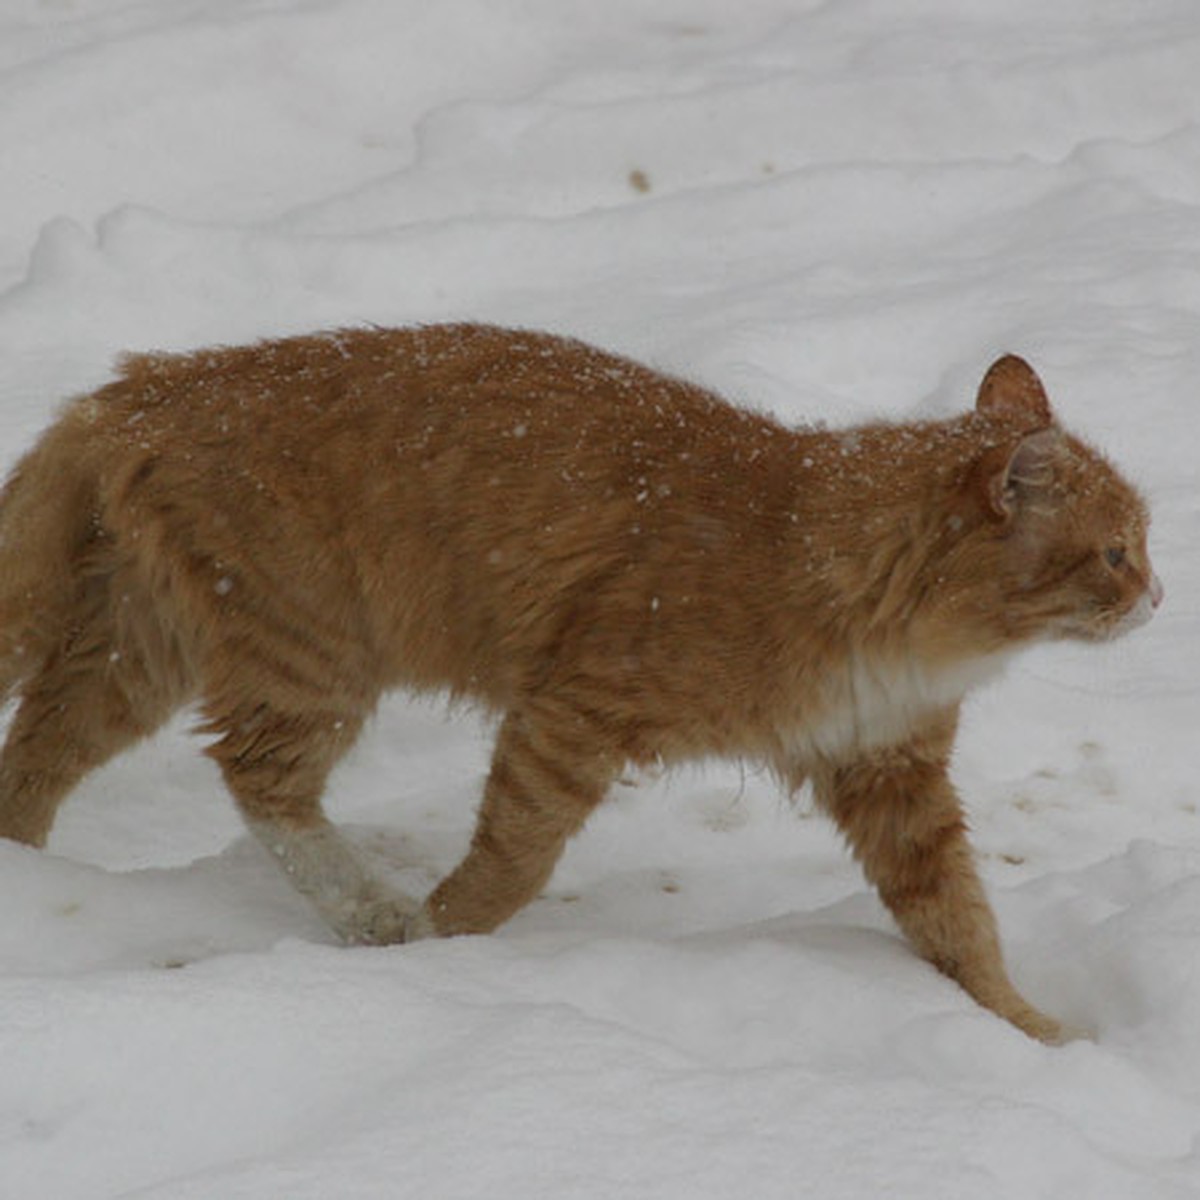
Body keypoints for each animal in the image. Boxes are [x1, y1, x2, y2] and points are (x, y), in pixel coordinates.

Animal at [0, 326, 1161, 1041]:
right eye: (1114, 553)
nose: (1158, 593)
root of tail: (141, 383)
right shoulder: (572, 716)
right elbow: (510, 862)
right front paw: (444, 942)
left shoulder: (891, 776)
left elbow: (959, 921)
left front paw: (1028, 1029)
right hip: (311, 652)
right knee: (260, 780)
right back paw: (374, 910)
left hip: (138, 653)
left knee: (37, 755)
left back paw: (26, 879)